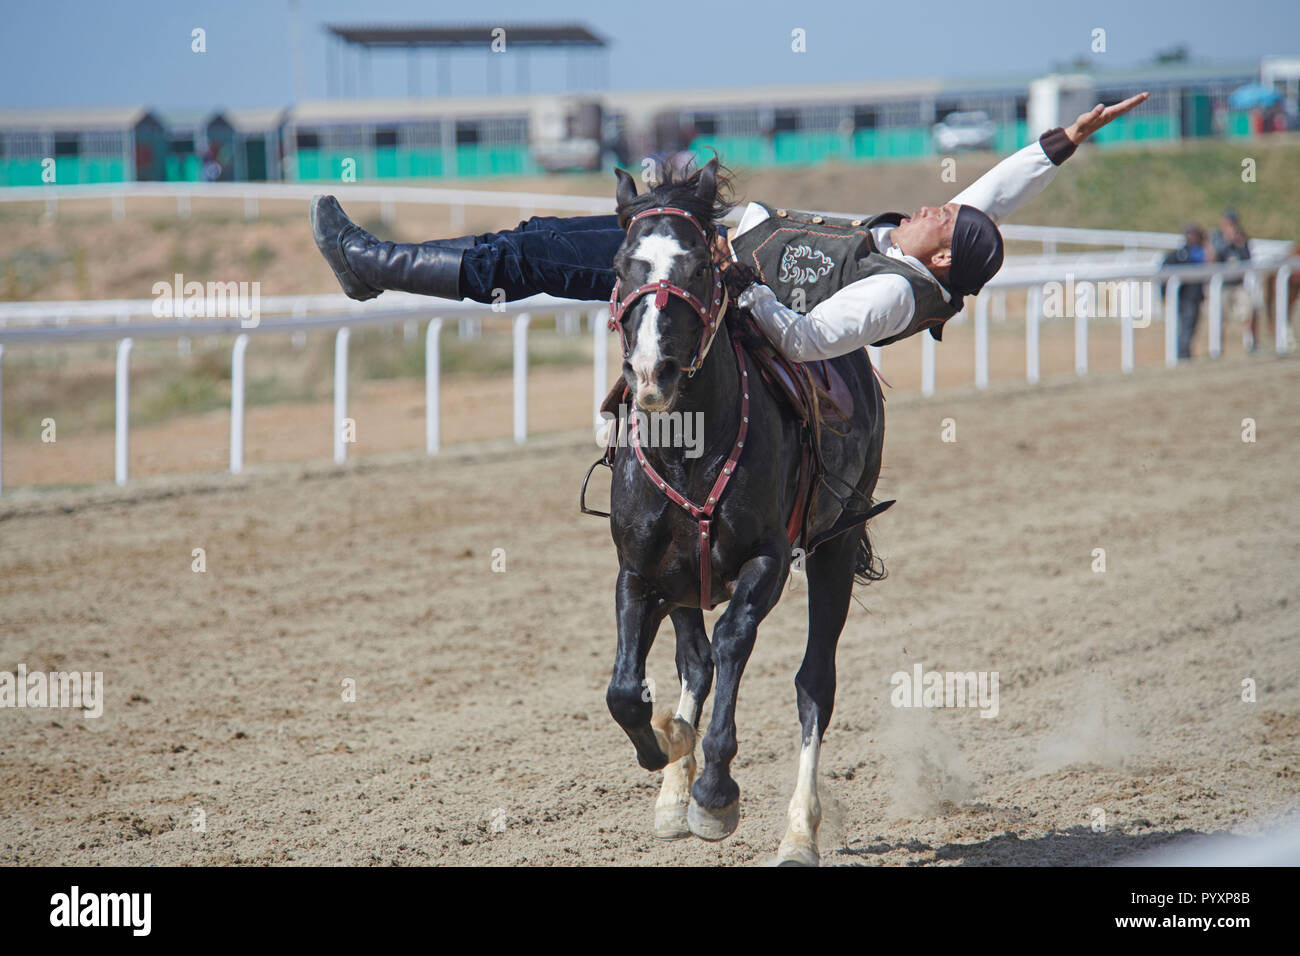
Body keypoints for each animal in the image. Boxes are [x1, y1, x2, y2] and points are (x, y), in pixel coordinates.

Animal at [600, 158, 889, 868]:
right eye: (622, 264)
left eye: (702, 265)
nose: (653, 372)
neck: (688, 449)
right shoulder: (639, 571)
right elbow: (626, 691)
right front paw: (670, 752)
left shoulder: (767, 561)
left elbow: (734, 641)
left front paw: (713, 793)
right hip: (682, 580)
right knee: (694, 663)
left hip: (837, 543)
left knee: (814, 684)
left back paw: (798, 833)